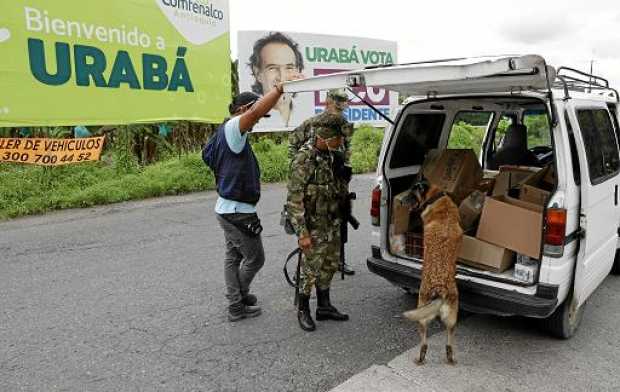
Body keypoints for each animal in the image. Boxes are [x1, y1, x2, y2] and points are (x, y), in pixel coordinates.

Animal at [404, 179, 462, 366]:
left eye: (411, 192)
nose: (400, 201)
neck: (436, 197)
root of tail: (439, 289)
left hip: (428, 316)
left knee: (427, 343)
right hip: (447, 318)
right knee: (445, 342)